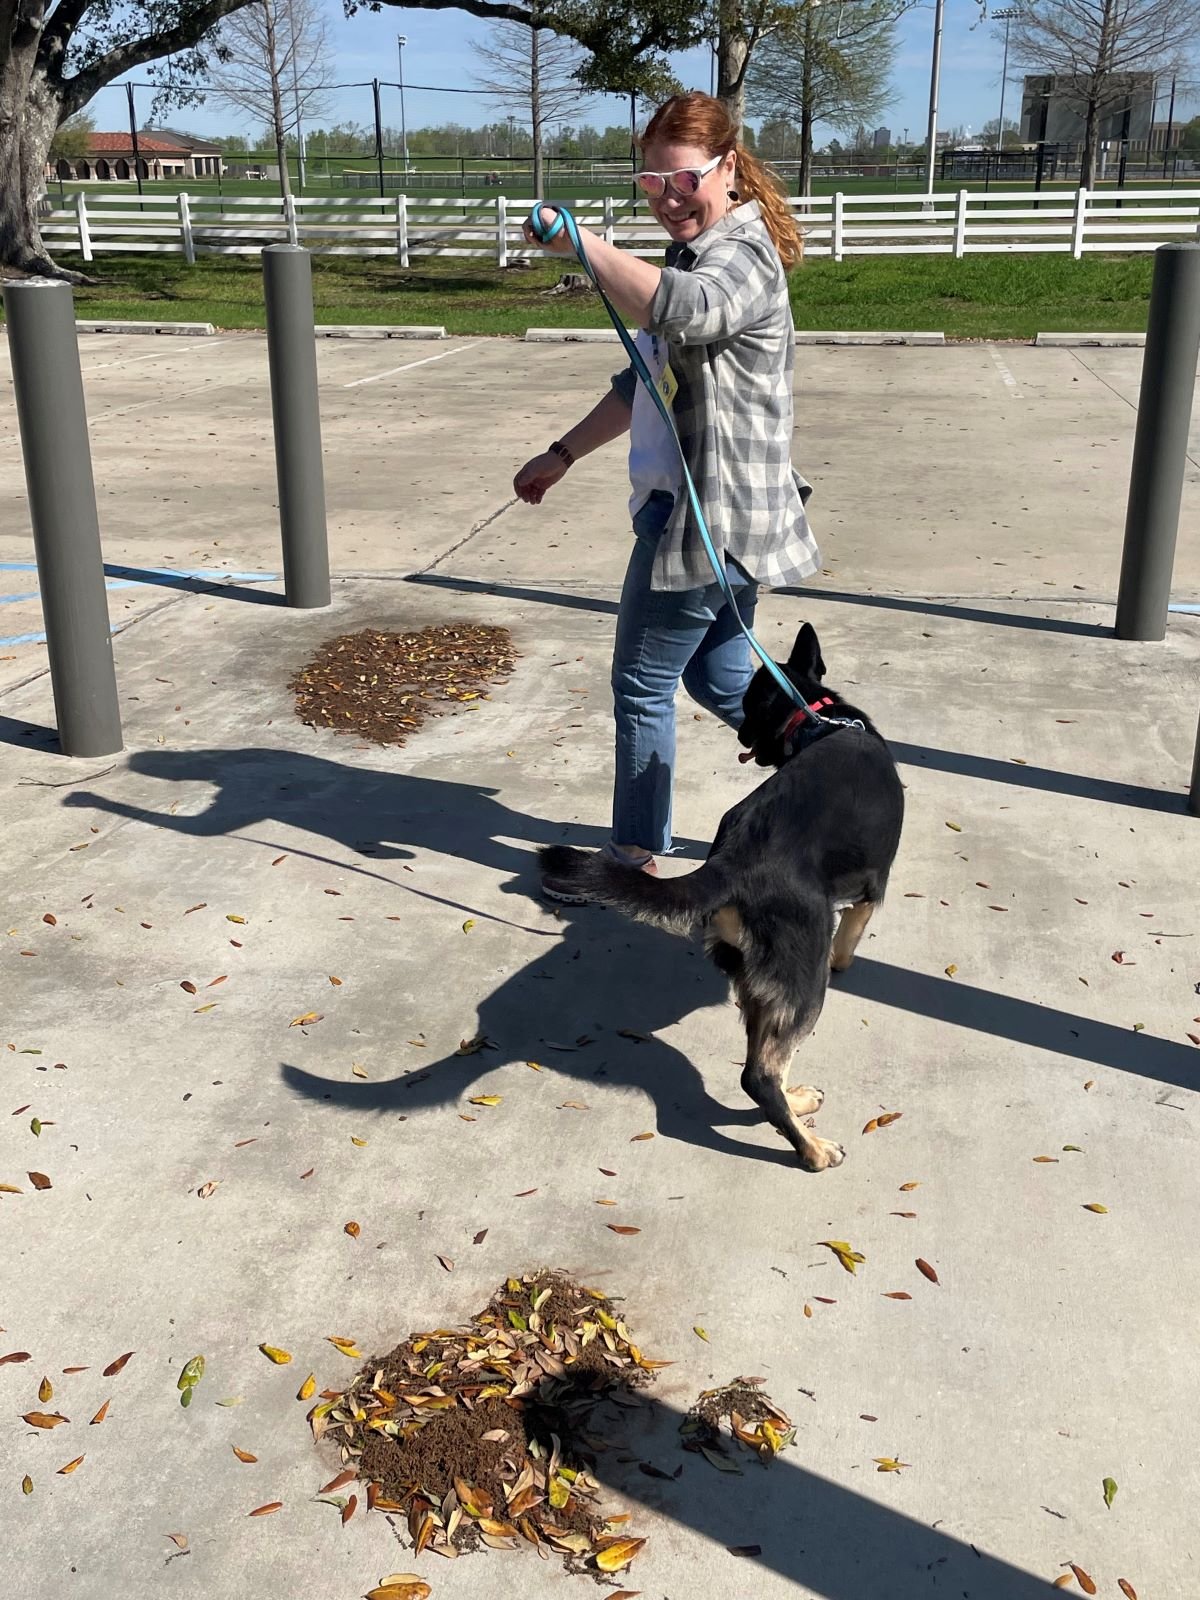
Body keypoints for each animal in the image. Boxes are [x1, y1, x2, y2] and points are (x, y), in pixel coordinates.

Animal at [540, 624, 908, 1177]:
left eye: (749, 707)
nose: (739, 736)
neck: (817, 722)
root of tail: (732, 861)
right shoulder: (869, 893)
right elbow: (851, 938)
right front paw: (848, 961)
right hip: (804, 979)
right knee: (760, 1075)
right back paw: (812, 1150)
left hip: (758, 985)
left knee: (759, 1069)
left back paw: (797, 1103)